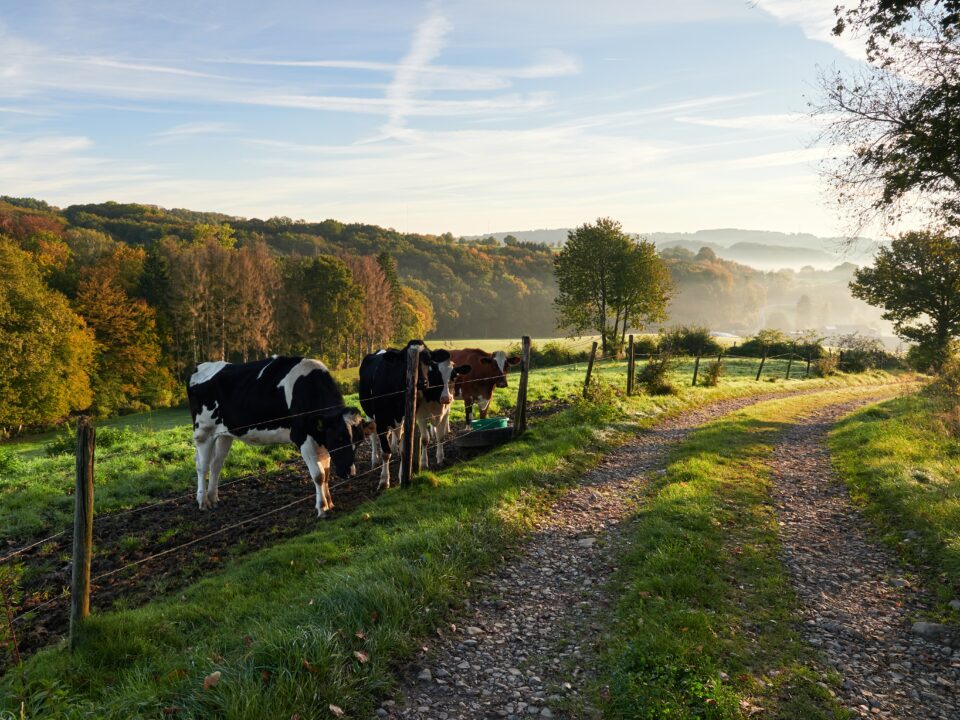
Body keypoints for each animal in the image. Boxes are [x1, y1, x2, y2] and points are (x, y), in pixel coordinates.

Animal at [186, 356, 374, 516]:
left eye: (359, 442)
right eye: (339, 438)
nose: (349, 472)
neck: (308, 390)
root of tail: (200, 366)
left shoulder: (320, 440)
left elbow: (326, 474)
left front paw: (329, 503)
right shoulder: (303, 438)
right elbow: (319, 476)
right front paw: (322, 508)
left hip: (224, 434)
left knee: (216, 464)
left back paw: (213, 498)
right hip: (203, 432)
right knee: (202, 466)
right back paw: (203, 501)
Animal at [356, 340, 468, 486]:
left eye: (428, 360)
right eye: (405, 361)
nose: (422, 382)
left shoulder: (417, 418)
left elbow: (409, 448)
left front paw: (402, 476)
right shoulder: (385, 420)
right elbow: (386, 453)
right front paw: (384, 480)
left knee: (395, 435)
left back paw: (394, 448)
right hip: (370, 413)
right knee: (374, 437)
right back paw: (375, 460)